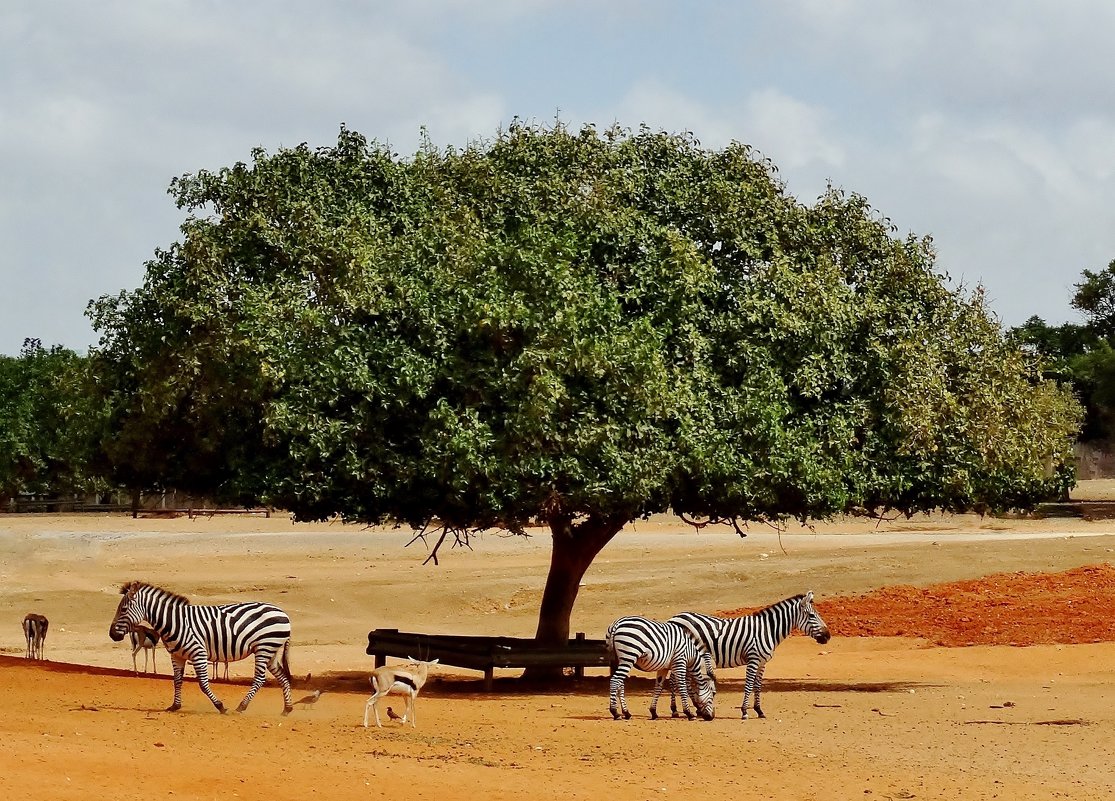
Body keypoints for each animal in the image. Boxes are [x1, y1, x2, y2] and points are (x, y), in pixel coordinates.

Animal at [104, 580, 294, 718]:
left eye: (123, 609)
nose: (112, 634)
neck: (175, 623)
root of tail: (283, 613)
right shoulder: (177, 655)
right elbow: (177, 681)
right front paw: (175, 706)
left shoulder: (198, 653)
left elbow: (203, 683)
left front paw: (220, 706)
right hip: (272, 651)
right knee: (282, 677)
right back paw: (287, 709)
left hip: (264, 648)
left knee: (260, 679)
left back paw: (241, 706)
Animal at [669, 589, 829, 722]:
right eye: (812, 615)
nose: (828, 636)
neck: (768, 630)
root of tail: (674, 618)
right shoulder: (753, 659)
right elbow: (748, 685)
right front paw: (745, 711)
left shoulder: (762, 663)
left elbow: (757, 685)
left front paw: (759, 710)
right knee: (675, 679)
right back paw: (676, 710)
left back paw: (691, 709)